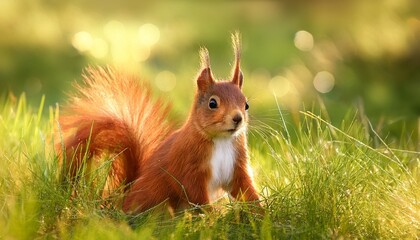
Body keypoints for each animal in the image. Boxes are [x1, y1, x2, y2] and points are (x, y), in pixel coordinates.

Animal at [60, 32, 260, 213]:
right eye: (212, 103)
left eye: (246, 104)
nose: (237, 118)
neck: (221, 141)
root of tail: (123, 203)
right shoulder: (188, 165)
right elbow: (194, 193)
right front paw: (212, 217)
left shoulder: (237, 166)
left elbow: (245, 189)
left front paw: (260, 212)